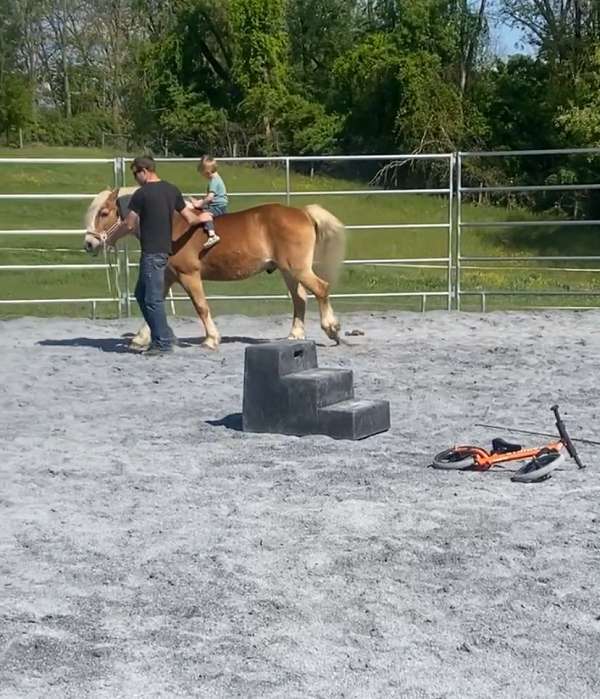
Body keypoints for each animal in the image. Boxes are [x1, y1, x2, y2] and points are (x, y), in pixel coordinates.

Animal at [83, 187, 346, 349]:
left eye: (104, 213)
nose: (89, 243)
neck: (175, 225)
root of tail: (303, 212)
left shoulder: (189, 275)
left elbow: (201, 307)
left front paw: (211, 339)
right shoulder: (168, 275)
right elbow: (153, 302)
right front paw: (140, 338)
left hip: (297, 269)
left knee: (321, 289)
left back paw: (331, 329)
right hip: (288, 271)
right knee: (300, 298)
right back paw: (295, 335)